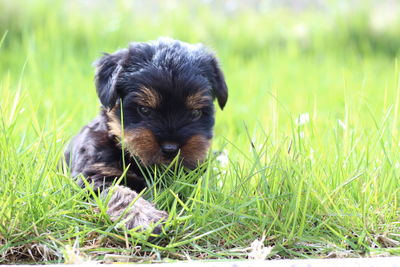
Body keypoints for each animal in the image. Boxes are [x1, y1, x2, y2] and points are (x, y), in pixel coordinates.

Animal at [65, 37, 228, 234]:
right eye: (144, 109)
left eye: (195, 113)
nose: (171, 149)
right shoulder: (95, 176)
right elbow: (121, 193)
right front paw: (145, 218)